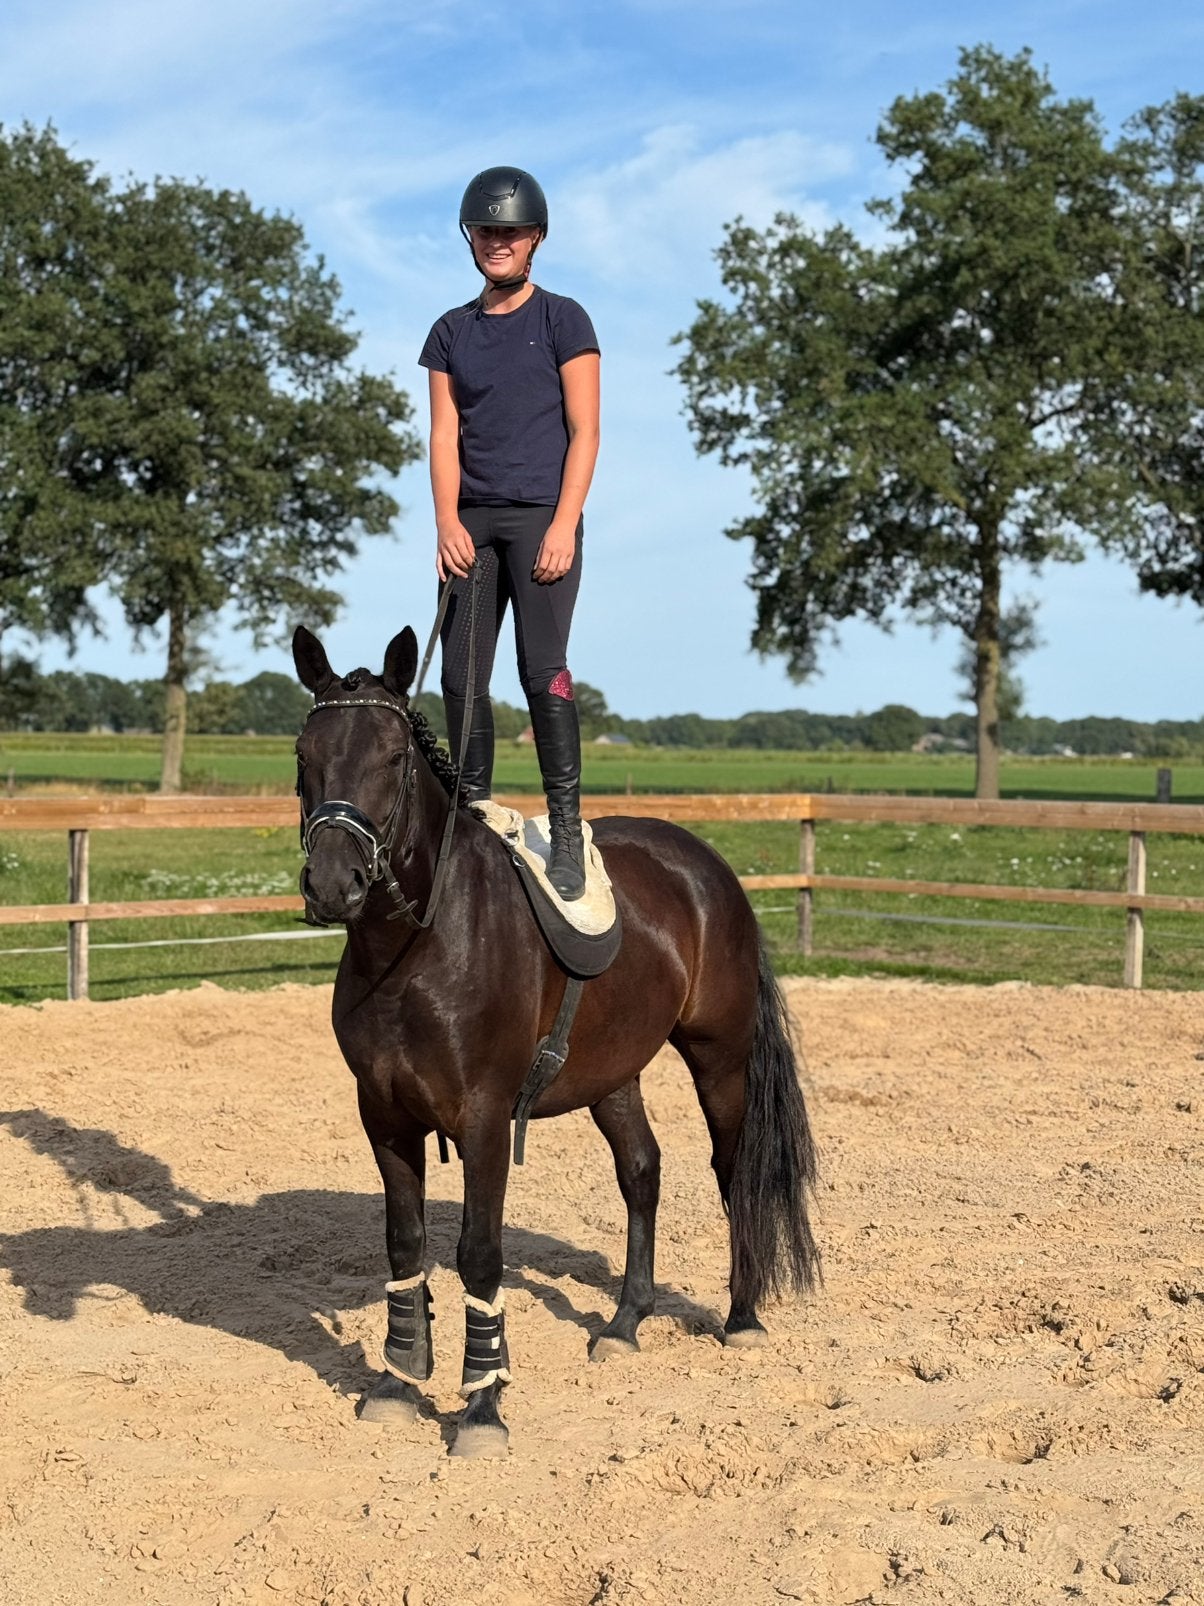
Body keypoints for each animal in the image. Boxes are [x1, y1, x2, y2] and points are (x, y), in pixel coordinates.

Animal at [292, 624, 820, 1459]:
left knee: (733, 1171)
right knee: (643, 1171)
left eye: (394, 757)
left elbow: (479, 1253)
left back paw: (742, 1318)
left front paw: (482, 1407)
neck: (419, 945)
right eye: (303, 756)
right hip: (613, 1072)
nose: (333, 884)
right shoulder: (384, 1116)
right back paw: (626, 1323)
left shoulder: (482, 1119)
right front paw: (398, 1382)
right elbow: (405, 1244)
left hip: (720, 1058)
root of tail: (705, 867)